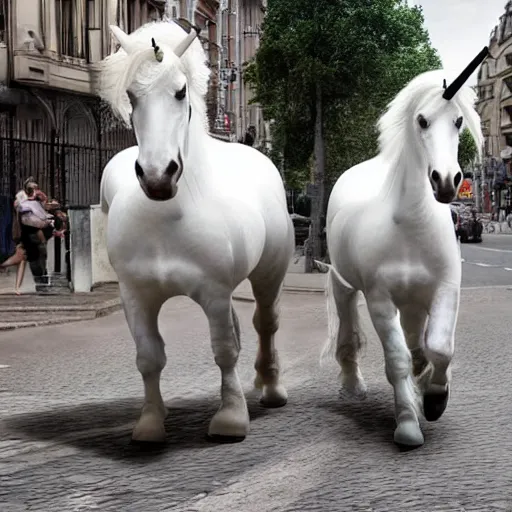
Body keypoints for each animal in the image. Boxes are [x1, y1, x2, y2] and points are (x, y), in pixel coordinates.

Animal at [96, 19, 294, 444]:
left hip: (269, 274)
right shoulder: (135, 297)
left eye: (180, 91)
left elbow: (224, 350)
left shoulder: (214, 293)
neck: (168, 218)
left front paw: (231, 418)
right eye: (131, 94)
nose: (157, 177)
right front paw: (151, 422)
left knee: (265, 324)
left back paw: (270, 388)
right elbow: (149, 356)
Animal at [320, 49, 488, 448]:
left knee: (417, 342)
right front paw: (408, 424)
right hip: (346, 287)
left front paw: (435, 396)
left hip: (413, 301)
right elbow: (397, 360)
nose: (447, 181)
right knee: (349, 331)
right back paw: (354, 386)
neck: (411, 227)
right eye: (422, 120)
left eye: (459, 120)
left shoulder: (446, 290)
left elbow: (438, 347)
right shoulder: (380, 300)